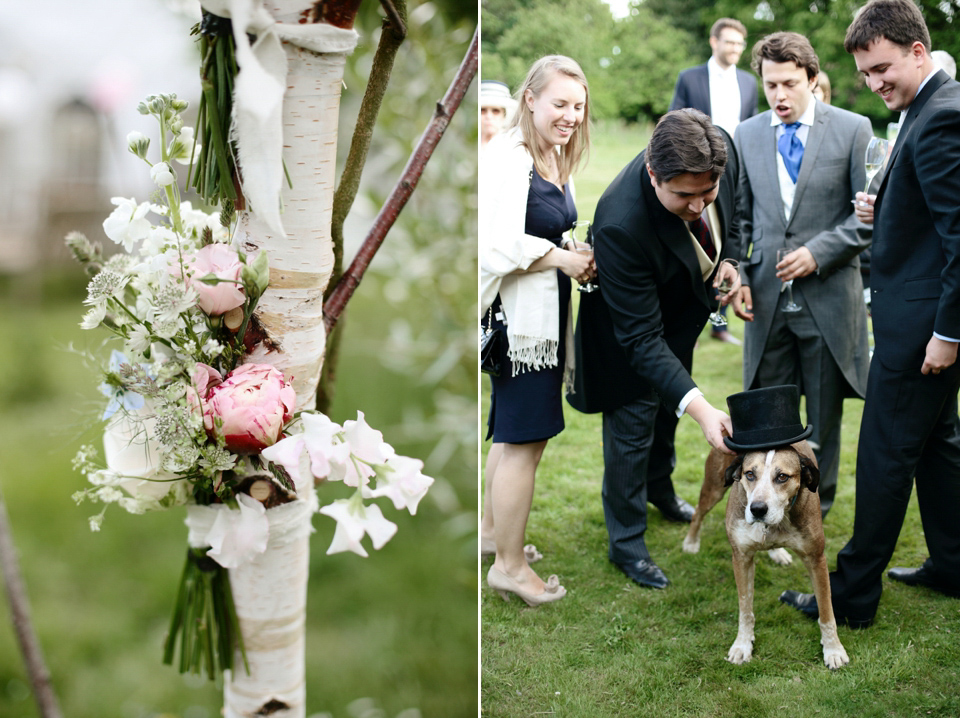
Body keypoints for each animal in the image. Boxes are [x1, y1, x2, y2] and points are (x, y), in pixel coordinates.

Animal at [684, 442, 848, 672]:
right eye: (750, 474)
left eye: (782, 477)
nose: (757, 509)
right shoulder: (741, 558)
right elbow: (745, 609)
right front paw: (743, 645)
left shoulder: (816, 559)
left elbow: (826, 612)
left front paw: (833, 650)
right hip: (714, 487)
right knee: (698, 511)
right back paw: (691, 542)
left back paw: (776, 552)